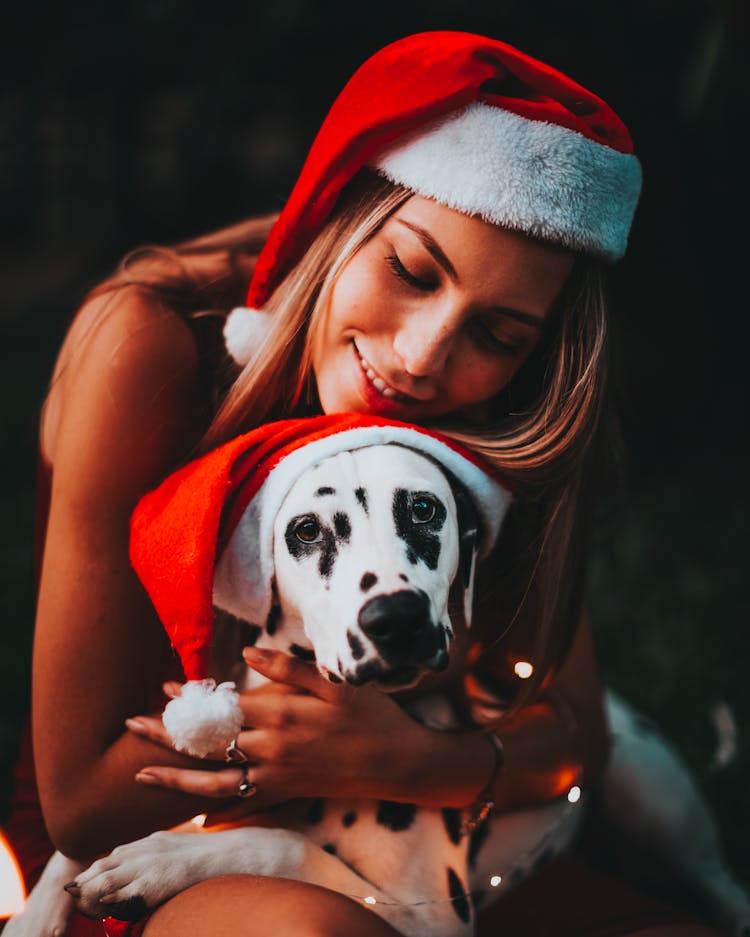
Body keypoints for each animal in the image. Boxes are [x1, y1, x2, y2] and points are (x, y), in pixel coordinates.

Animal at [7, 438, 750, 936]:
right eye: (306, 530)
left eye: (424, 508)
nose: (396, 620)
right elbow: (76, 837)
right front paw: (38, 912)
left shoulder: (428, 917)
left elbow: (281, 843)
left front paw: (155, 861)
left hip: (650, 796)